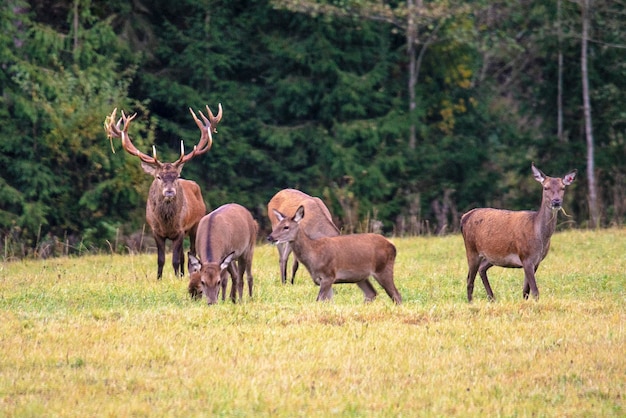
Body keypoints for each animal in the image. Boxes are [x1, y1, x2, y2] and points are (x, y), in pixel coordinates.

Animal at [102, 104, 219, 280]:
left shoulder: (180, 230)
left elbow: (175, 259)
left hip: (195, 225)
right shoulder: (155, 231)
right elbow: (161, 259)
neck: (166, 223)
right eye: (158, 176)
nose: (169, 192)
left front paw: (176, 278)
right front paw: (159, 278)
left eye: (176, 176)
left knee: (191, 252)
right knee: (185, 255)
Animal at [266, 205, 402, 304]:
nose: (270, 237)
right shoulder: (323, 279)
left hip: (383, 268)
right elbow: (328, 302)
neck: (313, 254)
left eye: (286, 227)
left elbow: (318, 300)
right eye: (277, 226)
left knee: (396, 295)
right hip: (361, 277)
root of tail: (393, 246)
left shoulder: (329, 275)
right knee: (371, 293)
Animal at [458, 162, 576, 302]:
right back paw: (471, 302)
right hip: (471, 249)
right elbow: (535, 291)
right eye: (545, 187)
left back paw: (492, 298)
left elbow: (526, 291)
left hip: (492, 255)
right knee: (469, 279)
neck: (540, 236)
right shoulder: (525, 257)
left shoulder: (536, 261)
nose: (556, 201)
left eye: (563, 188)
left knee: (481, 269)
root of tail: (464, 217)